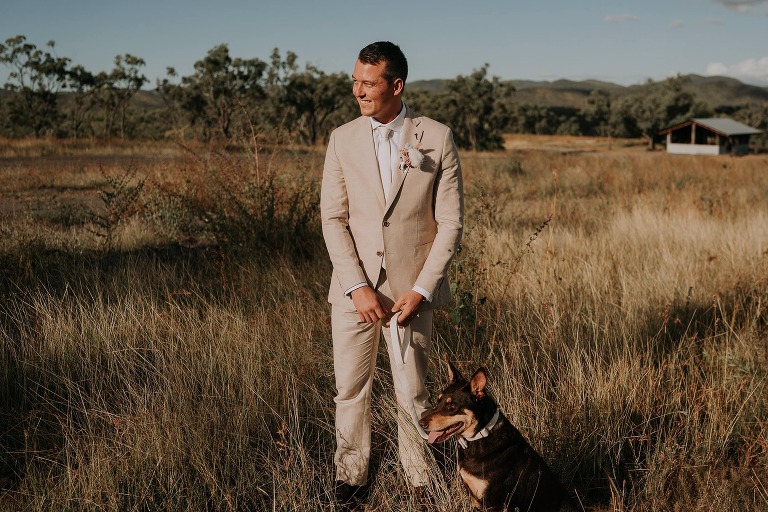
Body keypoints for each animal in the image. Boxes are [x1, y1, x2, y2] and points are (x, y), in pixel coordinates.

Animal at [420, 362, 576, 510]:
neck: (479, 437)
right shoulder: (474, 498)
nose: (421, 423)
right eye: (438, 401)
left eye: (451, 406)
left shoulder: (492, 503)